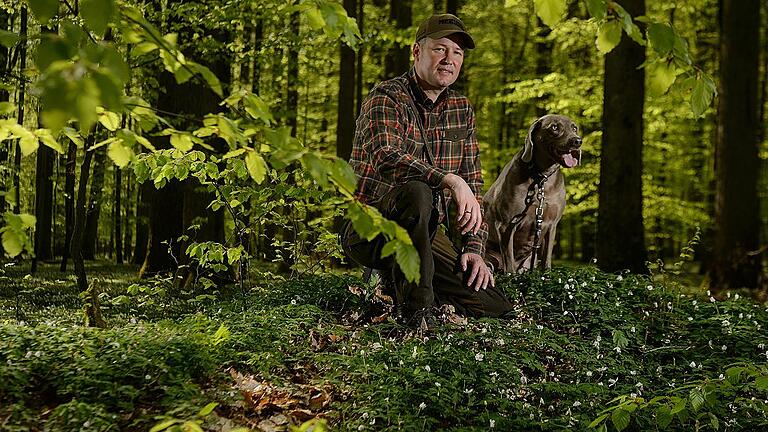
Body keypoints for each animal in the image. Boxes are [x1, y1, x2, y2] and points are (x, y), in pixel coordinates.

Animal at [484, 115, 584, 274]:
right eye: (554, 127)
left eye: (574, 128)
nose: (577, 141)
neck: (541, 178)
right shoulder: (505, 225)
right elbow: (509, 261)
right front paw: (510, 277)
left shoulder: (552, 225)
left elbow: (547, 259)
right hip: (488, 257)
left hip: (530, 259)